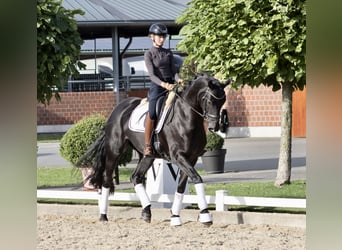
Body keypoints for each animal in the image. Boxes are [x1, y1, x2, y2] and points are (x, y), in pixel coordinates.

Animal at [80, 73, 228, 226]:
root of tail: (118, 108)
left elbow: (182, 186)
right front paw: (205, 215)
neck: (185, 117)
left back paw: (146, 211)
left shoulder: (191, 158)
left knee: (136, 177)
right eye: (209, 100)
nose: (214, 127)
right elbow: (197, 178)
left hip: (147, 156)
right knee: (107, 179)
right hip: (114, 151)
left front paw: (175, 216)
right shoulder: (178, 156)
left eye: (223, 101)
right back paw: (103, 216)